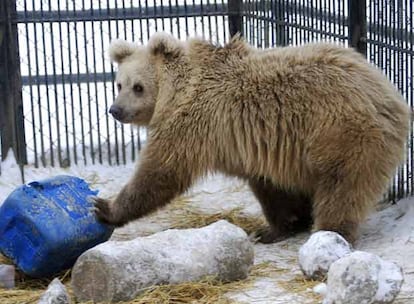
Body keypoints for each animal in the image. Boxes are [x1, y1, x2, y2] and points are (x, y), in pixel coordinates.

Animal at [94, 32, 410, 243]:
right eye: (119, 83)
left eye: (138, 87)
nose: (115, 110)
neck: (176, 90)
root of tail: (391, 94)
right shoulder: (260, 145)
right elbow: (273, 189)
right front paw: (279, 226)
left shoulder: (192, 123)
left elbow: (162, 171)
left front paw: (104, 207)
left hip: (342, 133)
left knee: (342, 188)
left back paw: (330, 232)